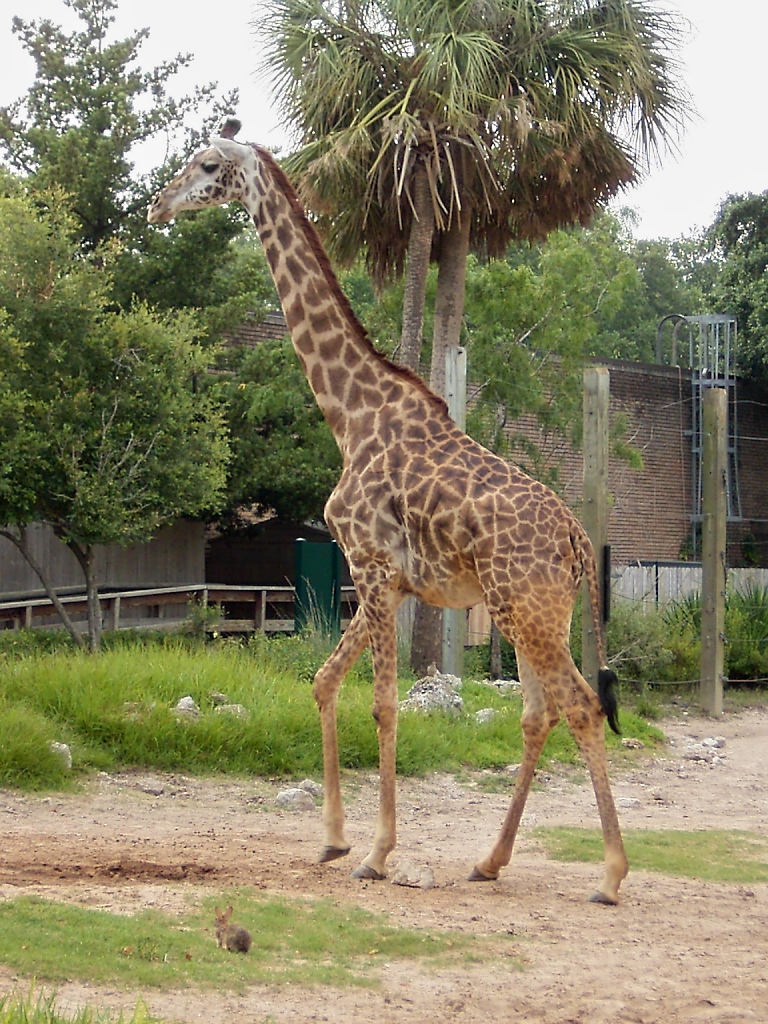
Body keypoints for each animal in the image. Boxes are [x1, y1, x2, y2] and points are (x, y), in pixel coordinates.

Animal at [150, 117, 630, 905]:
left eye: (208, 164)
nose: (160, 204)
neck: (348, 415)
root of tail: (576, 536)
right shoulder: (390, 581)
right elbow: (323, 682)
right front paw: (332, 839)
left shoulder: (371, 565)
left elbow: (381, 702)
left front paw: (376, 851)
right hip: (534, 613)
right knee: (539, 713)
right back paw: (489, 860)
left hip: (524, 609)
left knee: (582, 706)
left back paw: (611, 875)